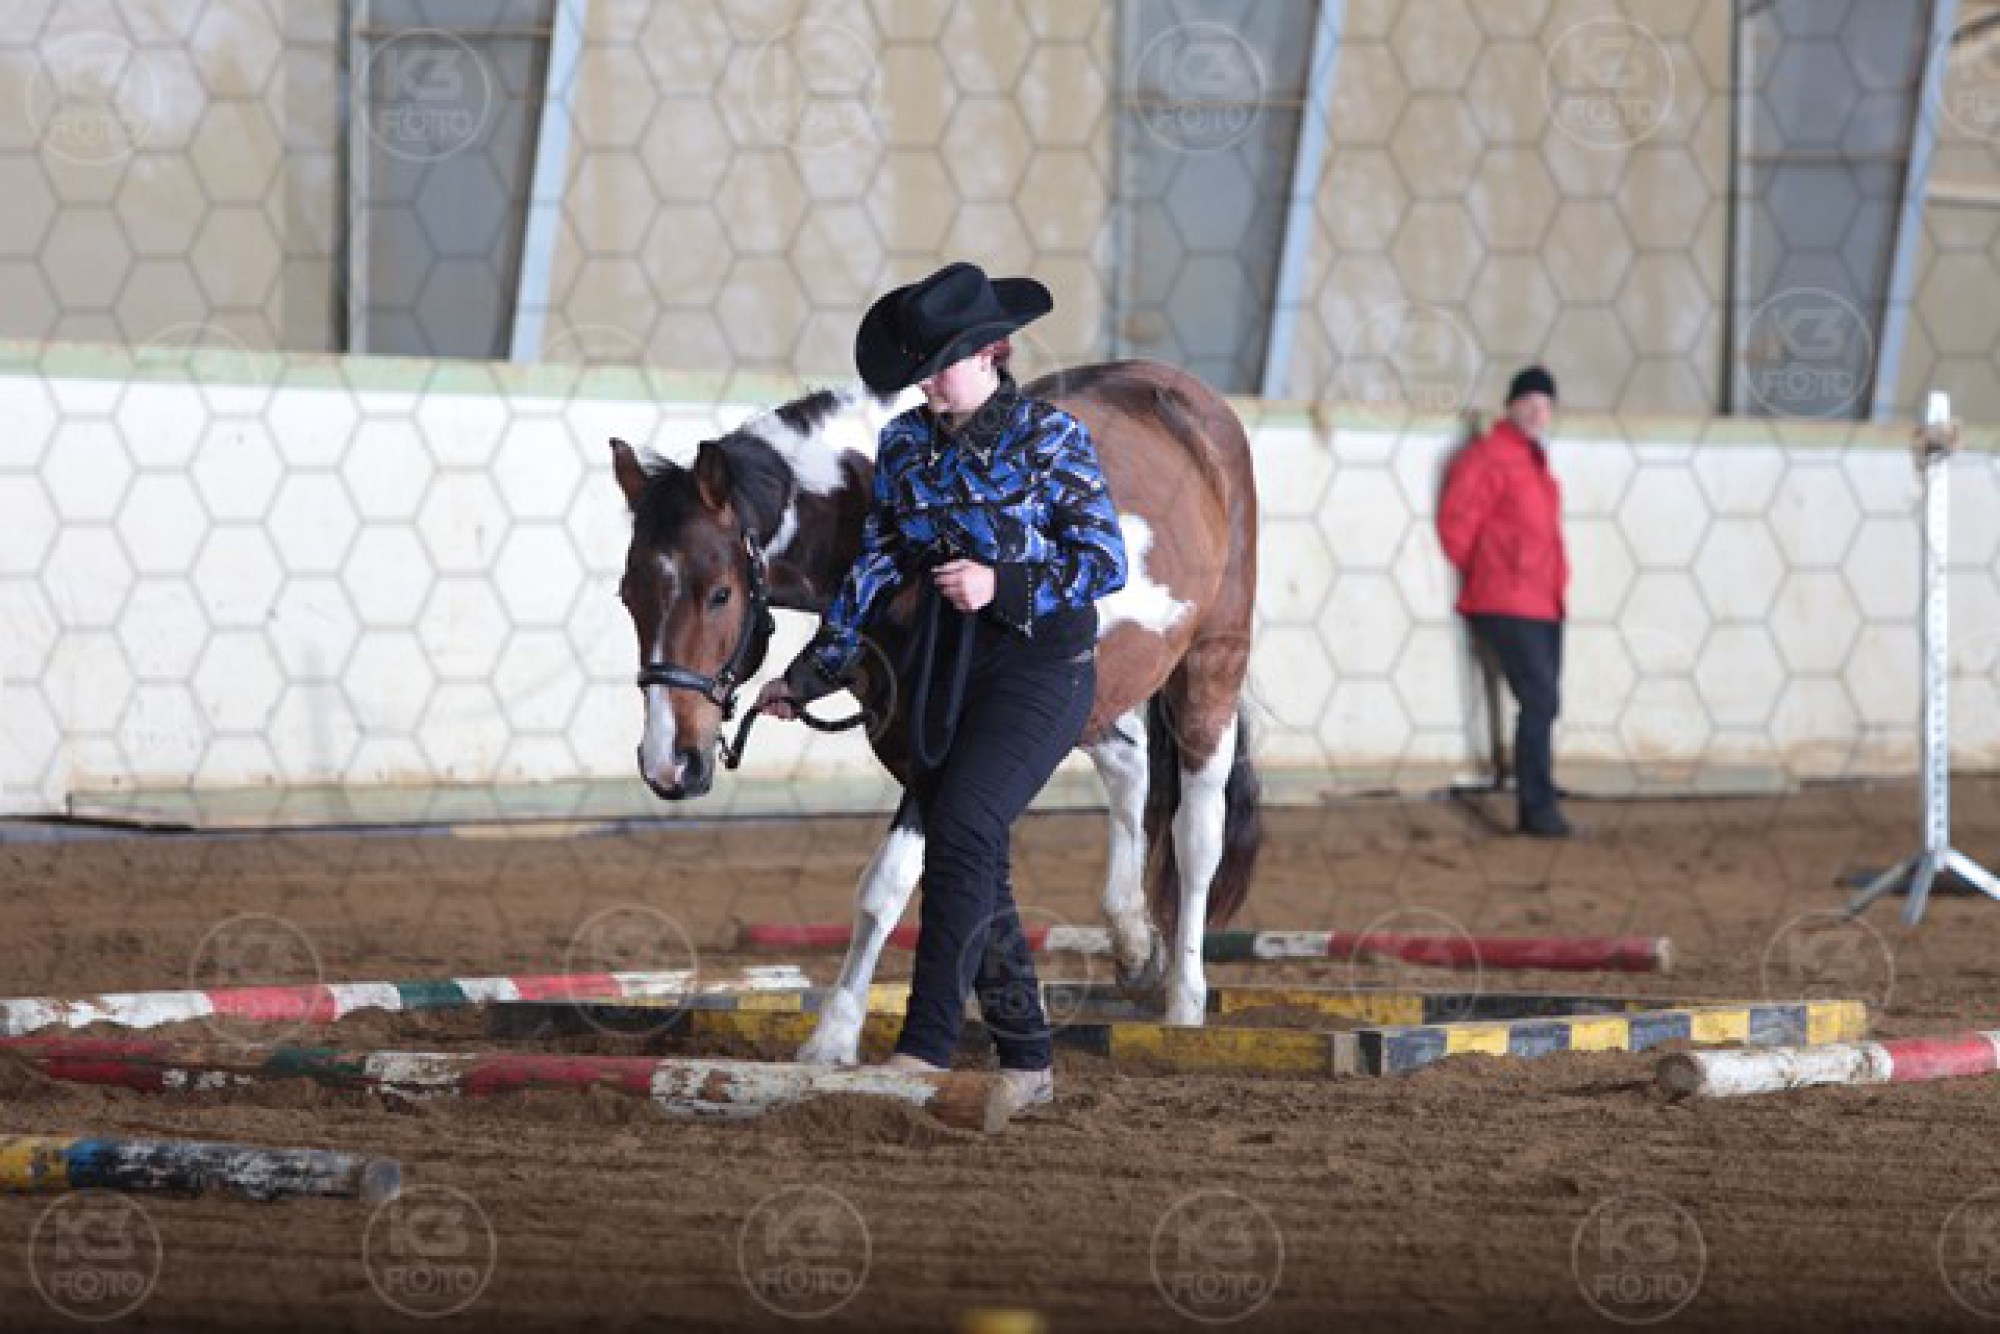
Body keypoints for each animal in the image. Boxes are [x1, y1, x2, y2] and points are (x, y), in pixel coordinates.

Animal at [608, 359, 1260, 1062]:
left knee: (1196, 835)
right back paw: (1132, 939)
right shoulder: (909, 745)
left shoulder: (940, 753)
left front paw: (831, 1040)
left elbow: (885, 888)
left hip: (1210, 671)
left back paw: (1184, 1004)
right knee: (1130, 762)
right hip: (1091, 698)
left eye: (721, 594)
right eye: (628, 594)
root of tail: (1186, 397)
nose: (669, 764)